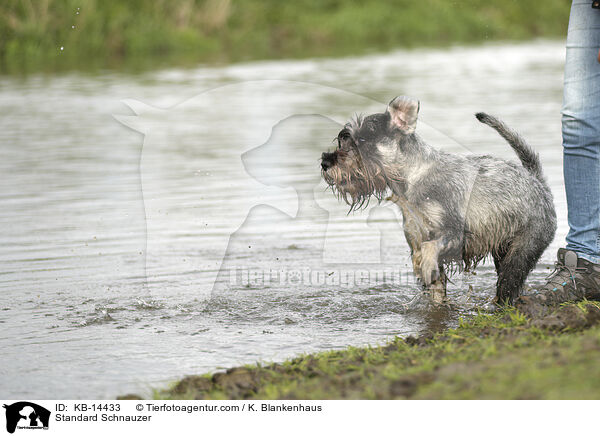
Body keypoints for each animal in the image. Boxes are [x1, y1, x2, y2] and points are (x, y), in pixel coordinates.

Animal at [322, 97, 556, 304]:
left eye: (362, 140)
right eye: (343, 139)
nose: (326, 162)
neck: (413, 178)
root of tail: (537, 182)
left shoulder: (454, 233)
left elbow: (431, 248)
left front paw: (426, 267)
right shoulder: (416, 237)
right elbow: (435, 288)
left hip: (523, 249)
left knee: (509, 283)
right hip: (502, 250)